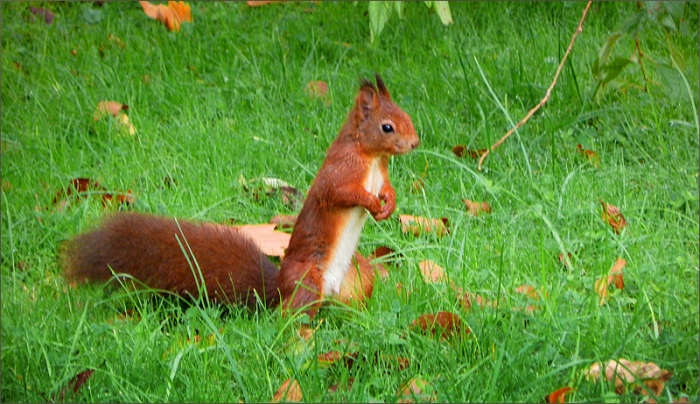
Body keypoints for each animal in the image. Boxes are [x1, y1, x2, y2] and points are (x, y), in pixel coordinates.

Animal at [62, 74, 420, 318]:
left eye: (406, 115)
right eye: (387, 127)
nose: (416, 143)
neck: (371, 157)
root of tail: (279, 288)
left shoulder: (380, 174)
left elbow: (388, 188)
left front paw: (389, 203)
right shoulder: (339, 173)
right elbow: (343, 193)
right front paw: (371, 203)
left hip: (359, 274)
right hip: (308, 281)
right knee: (289, 317)